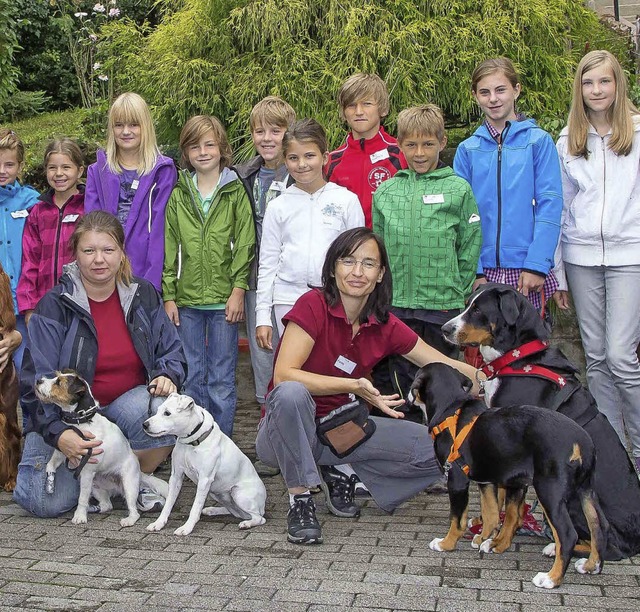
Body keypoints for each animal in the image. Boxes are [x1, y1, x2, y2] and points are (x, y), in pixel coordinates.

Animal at [35, 370, 168, 528]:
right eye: (56, 376)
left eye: (59, 382)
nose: (38, 380)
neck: (81, 421)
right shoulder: (64, 448)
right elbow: (52, 462)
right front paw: (49, 479)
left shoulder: (86, 471)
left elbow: (82, 499)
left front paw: (79, 516)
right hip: (95, 486)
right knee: (106, 505)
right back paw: (94, 508)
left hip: (127, 485)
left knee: (134, 511)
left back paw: (128, 520)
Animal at [142, 394, 264, 532]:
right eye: (157, 410)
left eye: (167, 413)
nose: (144, 424)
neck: (191, 442)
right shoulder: (176, 477)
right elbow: (168, 503)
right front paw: (158, 523)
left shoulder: (204, 480)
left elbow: (195, 507)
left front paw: (187, 528)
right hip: (218, 495)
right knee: (234, 511)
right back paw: (212, 510)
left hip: (238, 494)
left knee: (259, 518)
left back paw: (247, 523)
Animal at [408, 364, 608, 588]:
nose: (407, 394)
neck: (451, 409)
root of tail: (581, 441)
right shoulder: (486, 482)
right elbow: (492, 514)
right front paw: (483, 538)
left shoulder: (457, 479)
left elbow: (457, 519)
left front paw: (446, 543)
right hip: (585, 491)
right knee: (598, 527)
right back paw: (591, 566)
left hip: (549, 492)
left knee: (567, 534)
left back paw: (551, 578)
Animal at [440, 282, 640, 560]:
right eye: (468, 304)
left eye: (479, 310)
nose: (445, 329)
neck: (517, 358)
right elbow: (500, 498)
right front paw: (486, 527)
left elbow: (510, 503)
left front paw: (495, 539)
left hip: (572, 498)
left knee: (606, 544)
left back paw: (556, 547)